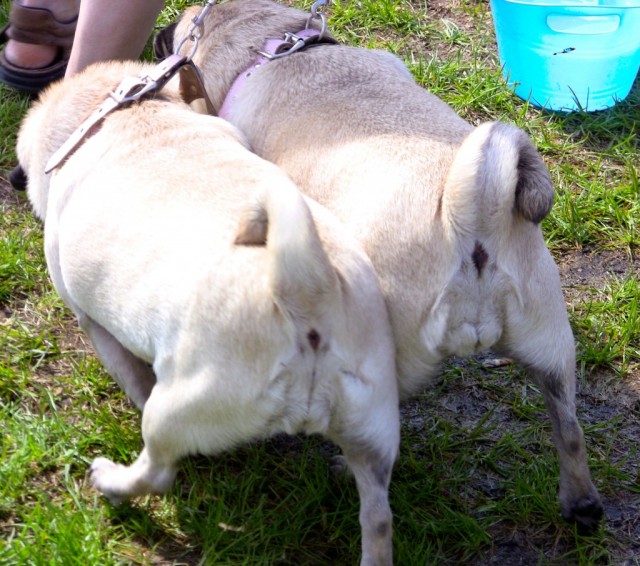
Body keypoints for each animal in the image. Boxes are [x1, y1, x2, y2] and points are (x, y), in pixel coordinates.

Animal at [15, 60, 400, 564]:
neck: (127, 112)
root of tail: (308, 291)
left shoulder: (92, 322)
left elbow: (132, 378)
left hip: (175, 409)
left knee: (157, 470)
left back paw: (112, 482)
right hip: (374, 430)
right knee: (377, 516)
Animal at [158, 0, 604, 532]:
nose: (160, 35)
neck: (276, 46)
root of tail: (472, 217)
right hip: (551, 343)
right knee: (570, 428)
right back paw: (581, 504)